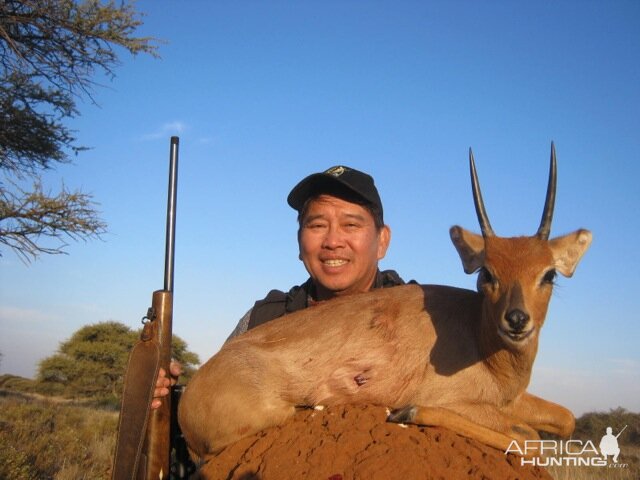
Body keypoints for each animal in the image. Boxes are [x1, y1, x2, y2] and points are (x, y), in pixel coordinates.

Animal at [178, 145, 592, 462]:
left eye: (548, 274)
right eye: (486, 273)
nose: (517, 319)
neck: (483, 342)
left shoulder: (512, 400)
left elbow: (567, 418)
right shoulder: (460, 400)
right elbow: (531, 438)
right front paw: (408, 411)